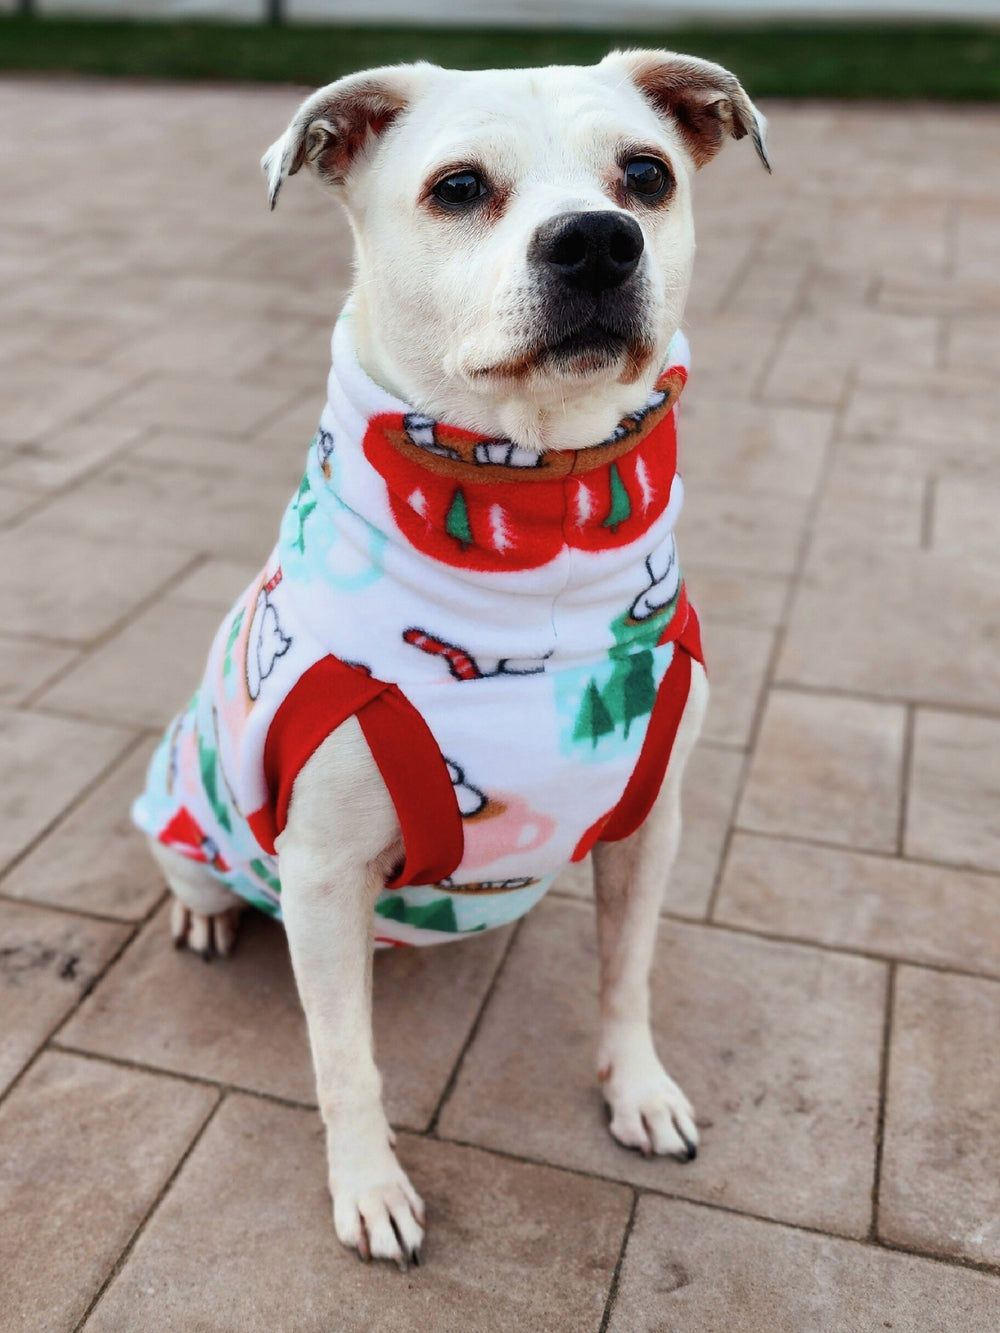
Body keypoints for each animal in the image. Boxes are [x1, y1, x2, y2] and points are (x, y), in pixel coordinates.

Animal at [135, 49, 768, 1258]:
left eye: (647, 175)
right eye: (460, 187)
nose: (597, 240)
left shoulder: (649, 824)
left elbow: (627, 975)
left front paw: (638, 1090)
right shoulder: (322, 873)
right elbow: (345, 1061)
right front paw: (370, 1187)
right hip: (189, 807)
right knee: (197, 872)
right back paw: (203, 911)